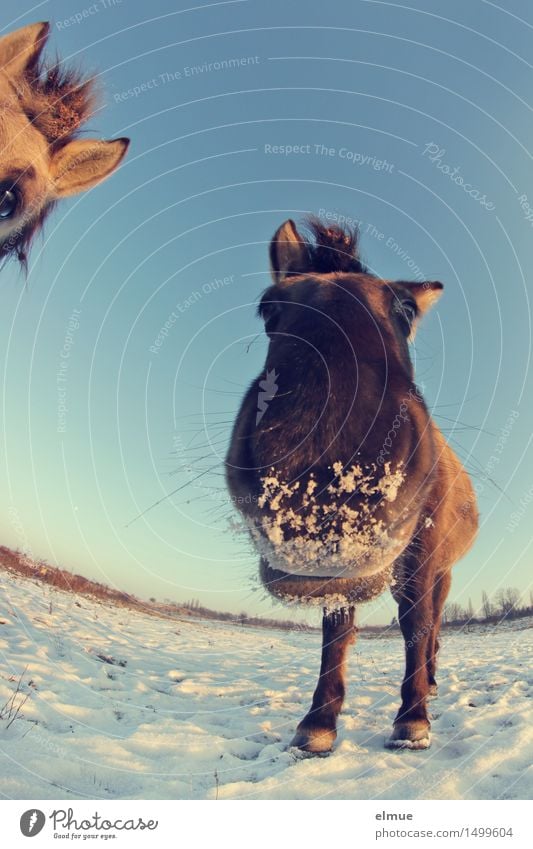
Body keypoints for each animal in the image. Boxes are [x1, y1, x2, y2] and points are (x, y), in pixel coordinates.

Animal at [224, 215, 478, 752]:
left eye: (405, 312)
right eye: (269, 307)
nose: (325, 484)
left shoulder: (421, 555)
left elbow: (416, 624)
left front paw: (413, 718)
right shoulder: (340, 571)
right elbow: (336, 630)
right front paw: (318, 723)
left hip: (439, 571)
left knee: (431, 621)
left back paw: (430, 682)